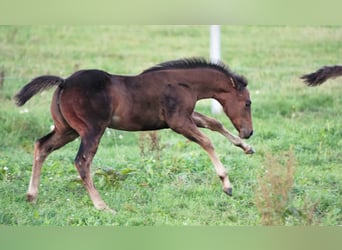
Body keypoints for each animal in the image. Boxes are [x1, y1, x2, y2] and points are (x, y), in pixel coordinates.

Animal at [14, 58, 252, 213]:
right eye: (247, 103)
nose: (249, 132)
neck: (184, 84)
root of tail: (63, 82)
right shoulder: (178, 122)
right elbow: (207, 141)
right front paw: (227, 184)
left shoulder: (184, 116)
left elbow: (213, 122)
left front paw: (246, 148)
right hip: (92, 130)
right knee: (82, 161)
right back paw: (102, 206)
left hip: (67, 130)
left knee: (42, 146)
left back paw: (31, 196)